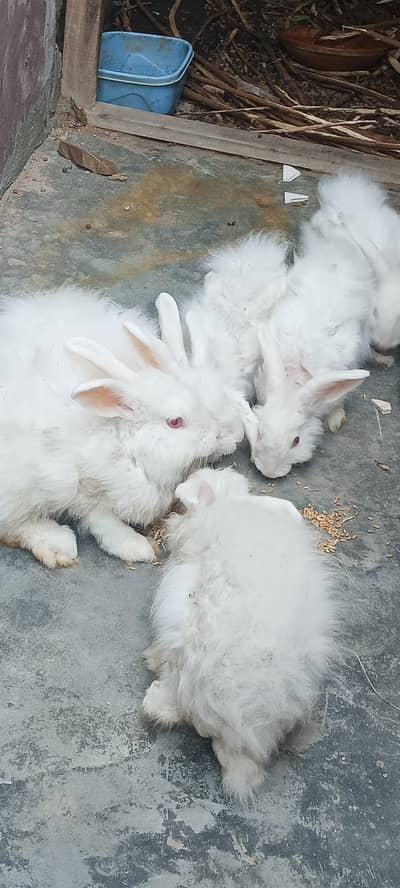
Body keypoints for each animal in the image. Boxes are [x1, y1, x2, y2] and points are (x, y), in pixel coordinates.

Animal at [0, 287, 230, 568]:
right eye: (175, 422)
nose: (216, 434)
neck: (120, 440)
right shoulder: (85, 488)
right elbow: (101, 519)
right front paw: (136, 547)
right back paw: (57, 544)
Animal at [249, 235, 371, 479]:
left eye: (296, 441)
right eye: (260, 432)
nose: (269, 472)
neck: (292, 383)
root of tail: (337, 252)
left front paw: (333, 420)